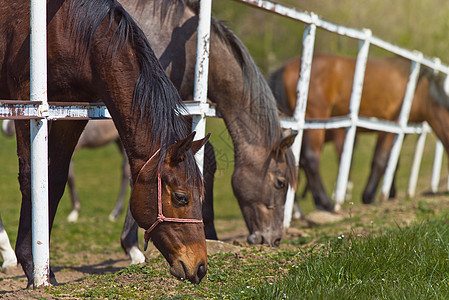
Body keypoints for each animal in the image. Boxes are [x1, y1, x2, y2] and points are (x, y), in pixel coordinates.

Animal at [1, 0, 208, 288]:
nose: (200, 267)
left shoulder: (71, 110)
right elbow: (32, 178)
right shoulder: (26, 101)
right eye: (181, 197)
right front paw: (32, 267)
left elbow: (55, 181)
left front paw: (47, 271)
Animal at [119, 0, 300, 248]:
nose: (274, 239)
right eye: (281, 183)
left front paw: (210, 232)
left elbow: (206, 160)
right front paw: (131, 245)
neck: (189, 48)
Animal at [268, 52, 448, 210]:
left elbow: (393, 162)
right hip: (315, 120)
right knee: (311, 159)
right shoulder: (390, 127)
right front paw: (369, 196)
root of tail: (282, 69)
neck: (419, 90)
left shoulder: (399, 133)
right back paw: (326, 204)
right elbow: (381, 160)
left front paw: (390, 194)